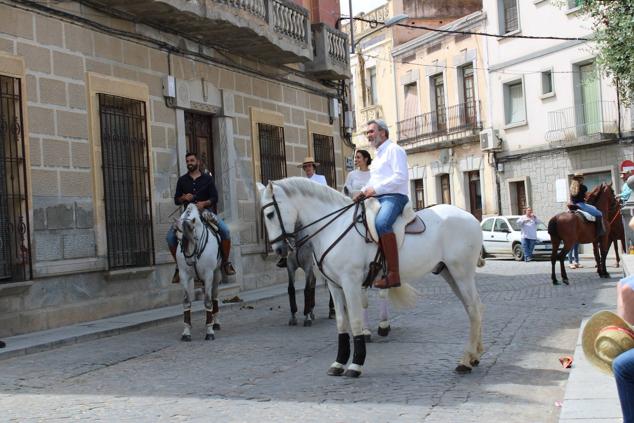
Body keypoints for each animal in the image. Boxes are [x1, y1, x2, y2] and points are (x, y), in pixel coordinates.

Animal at [174, 204, 221, 342]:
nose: (190, 260)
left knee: (214, 296)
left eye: (194, 237)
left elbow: (208, 301)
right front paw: (186, 332)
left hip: (217, 273)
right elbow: (186, 301)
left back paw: (216, 323)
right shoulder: (184, 275)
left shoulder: (209, 274)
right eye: (178, 238)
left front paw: (209, 331)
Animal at [256, 178, 484, 378]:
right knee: (472, 308)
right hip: (449, 273)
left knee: (474, 309)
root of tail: (470, 217)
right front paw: (338, 363)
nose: (279, 250)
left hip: (461, 272)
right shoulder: (335, 286)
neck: (334, 227)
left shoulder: (351, 283)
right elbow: (341, 323)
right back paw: (475, 356)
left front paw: (356, 364)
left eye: (270, 214)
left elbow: (356, 321)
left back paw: (465, 361)